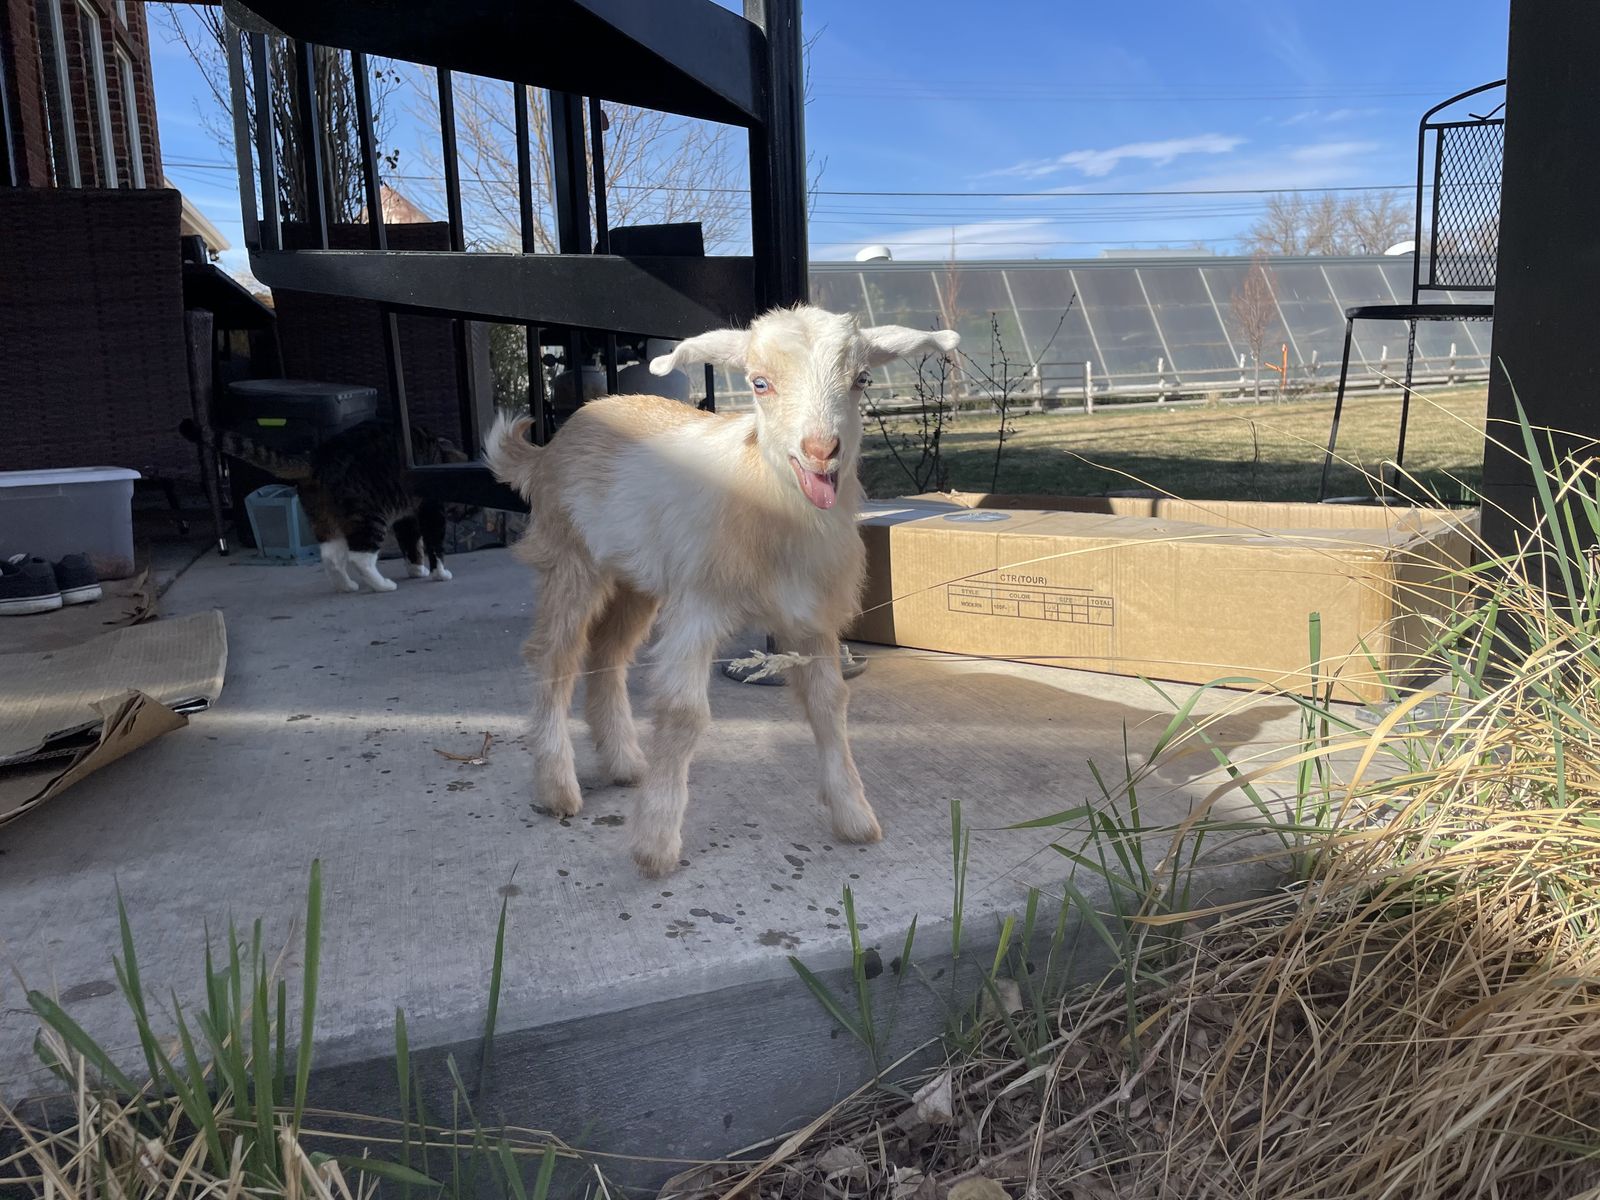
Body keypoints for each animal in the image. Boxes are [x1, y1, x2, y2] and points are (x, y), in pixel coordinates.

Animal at [484, 304, 959, 877]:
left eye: (862, 379)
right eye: (759, 383)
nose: (821, 451)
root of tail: (551, 447)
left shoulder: (809, 615)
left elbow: (829, 703)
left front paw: (855, 817)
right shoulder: (699, 605)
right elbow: (684, 712)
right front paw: (656, 845)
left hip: (637, 579)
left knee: (608, 654)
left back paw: (625, 764)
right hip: (571, 558)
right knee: (555, 656)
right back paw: (557, 788)